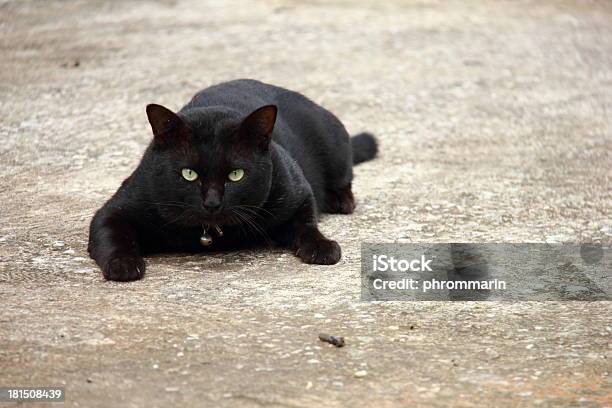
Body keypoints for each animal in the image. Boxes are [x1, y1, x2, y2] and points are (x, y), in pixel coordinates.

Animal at [88, 79, 376, 280]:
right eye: (189, 174)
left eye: (235, 175)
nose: (212, 203)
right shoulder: (117, 208)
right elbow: (113, 233)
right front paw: (123, 264)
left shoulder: (298, 192)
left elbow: (306, 223)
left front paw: (321, 246)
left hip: (333, 141)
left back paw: (340, 200)